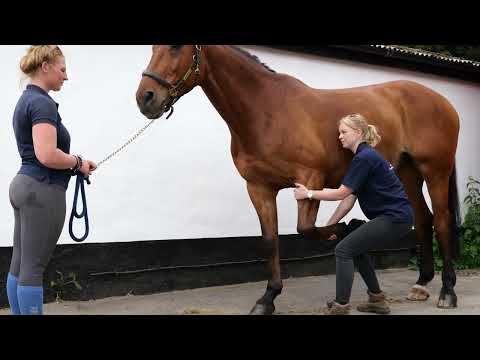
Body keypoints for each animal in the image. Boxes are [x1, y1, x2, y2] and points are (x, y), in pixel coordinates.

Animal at [135, 45, 462, 316]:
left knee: (443, 221)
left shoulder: (310, 179)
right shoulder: (259, 188)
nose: (145, 98)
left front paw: (344, 228)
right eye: (152, 48)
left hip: (435, 170)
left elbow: (305, 228)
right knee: (423, 218)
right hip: (407, 171)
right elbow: (270, 240)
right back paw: (421, 284)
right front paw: (267, 299)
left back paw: (447, 292)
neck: (265, 110)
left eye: (176, 46)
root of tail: (443, 101)